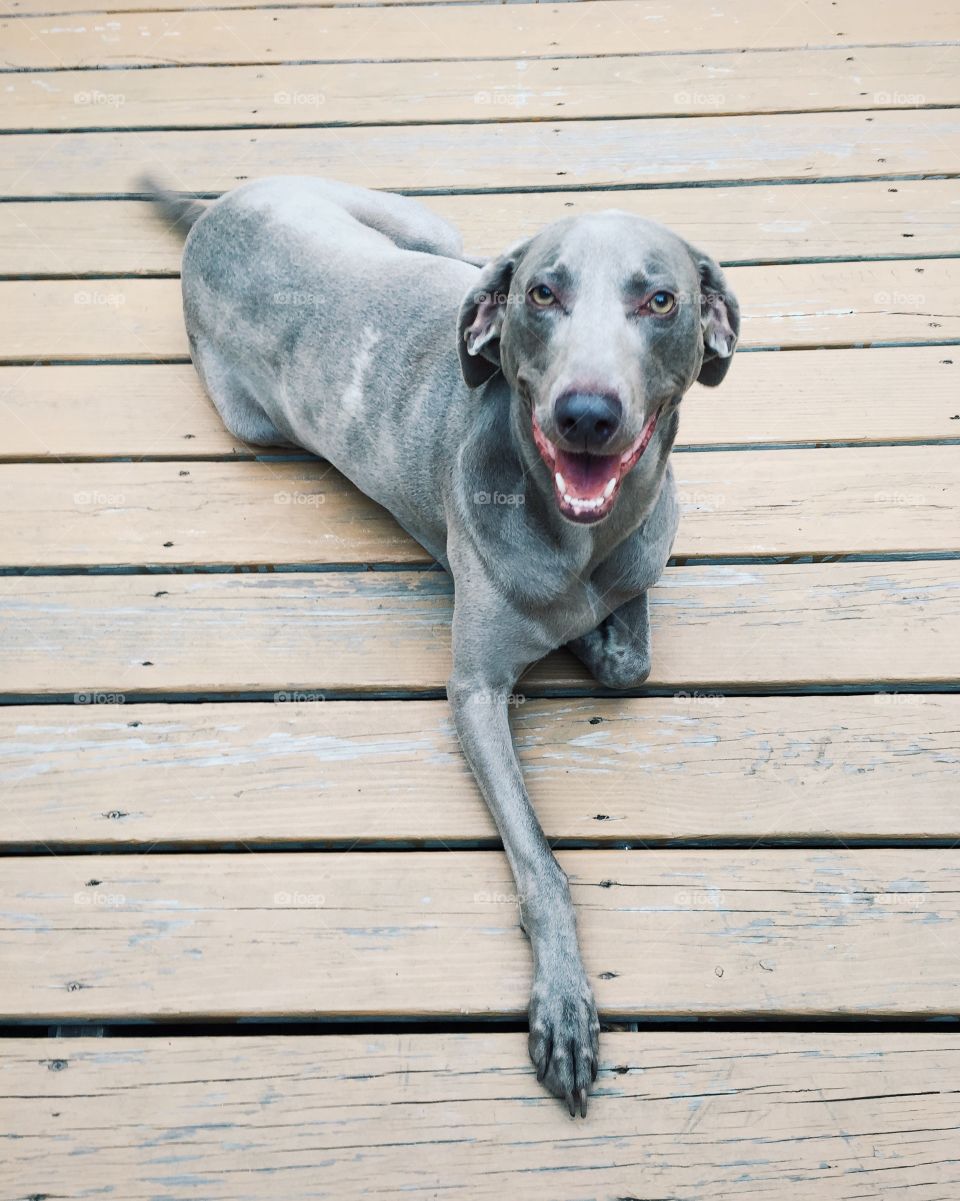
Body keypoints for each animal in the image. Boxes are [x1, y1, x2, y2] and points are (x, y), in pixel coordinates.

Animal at [144, 177, 744, 1114]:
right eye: (544, 293)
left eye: (661, 300)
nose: (585, 414)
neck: (583, 533)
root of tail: (217, 208)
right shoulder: (473, 693)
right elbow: (540, 863)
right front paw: (564, 1005)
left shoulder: (636, 563)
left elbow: (629, 653)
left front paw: (592, 628)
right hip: (259, 418)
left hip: (426, 228)